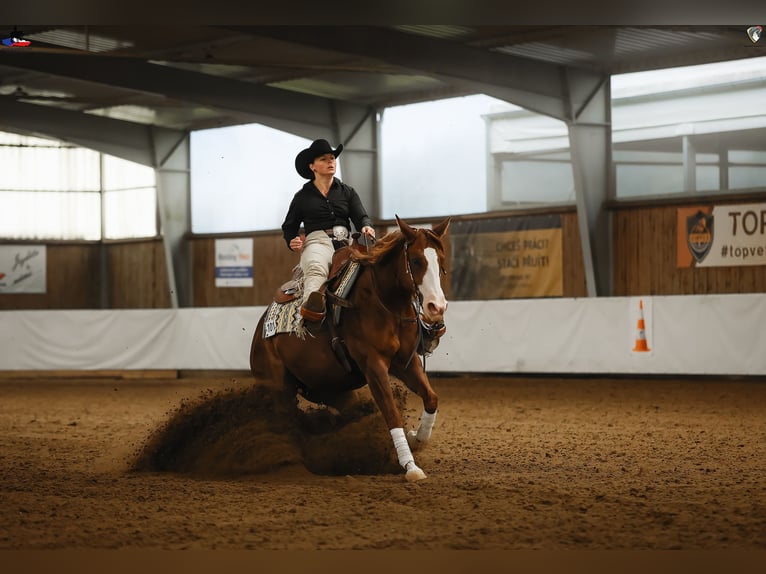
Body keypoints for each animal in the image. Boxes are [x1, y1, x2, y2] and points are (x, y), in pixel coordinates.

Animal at [249, 215, 451, 481]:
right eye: (416, 260)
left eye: (441, 260)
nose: (437, 307)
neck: (385, 303)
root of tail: (260, 333)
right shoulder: (373, 365)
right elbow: (391, 413)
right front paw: (410, 466)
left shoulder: (407, 362)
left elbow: (431, 398)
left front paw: (416, 438)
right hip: (279, 389)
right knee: (286, 423)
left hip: (329, 388)